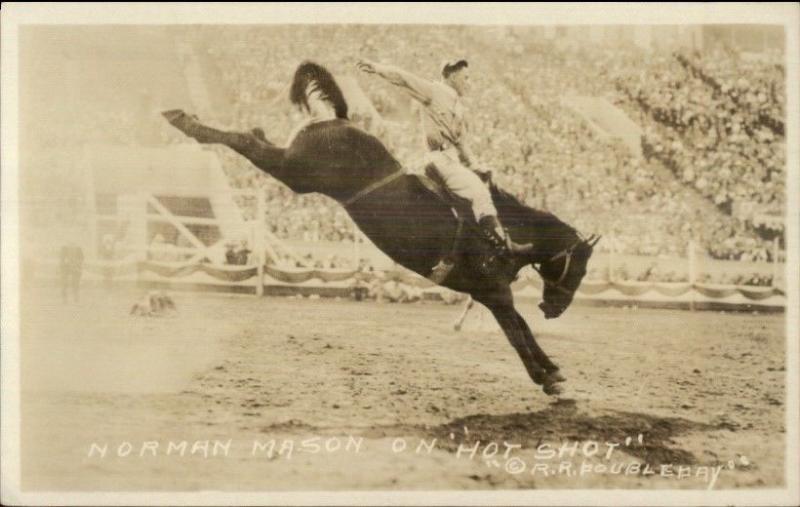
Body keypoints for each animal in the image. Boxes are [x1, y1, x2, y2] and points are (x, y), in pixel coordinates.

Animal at [164, 60, 600, 396]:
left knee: (256, 138)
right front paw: (548, 377)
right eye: (580, 267)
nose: (555, 308)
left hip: (294, 167)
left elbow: (519, 328)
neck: (507, 230)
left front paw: (551, 372)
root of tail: (340, 121)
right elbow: (518, 333)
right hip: (296, 173)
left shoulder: (488, 294)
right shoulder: (493, 291)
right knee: (246, 141)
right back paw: (183, 120)